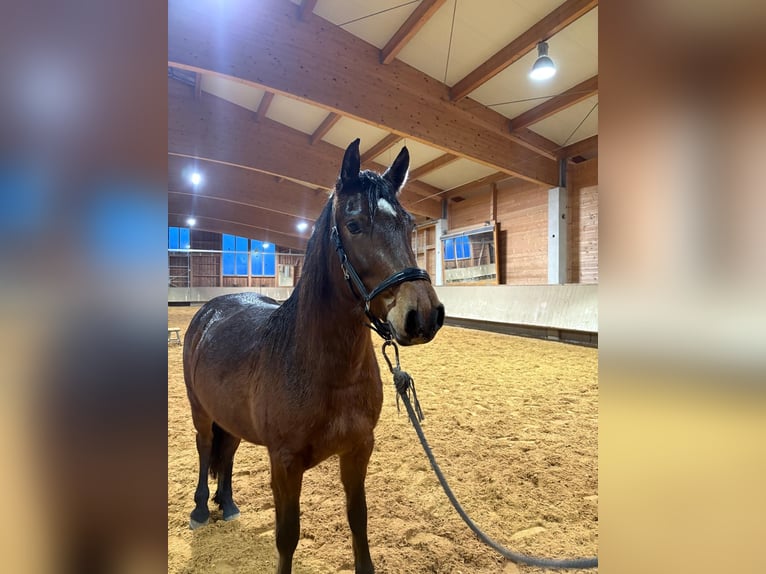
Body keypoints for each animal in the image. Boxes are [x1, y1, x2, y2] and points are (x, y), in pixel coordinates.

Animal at [183, 139, 445, 574]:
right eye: (354, 225)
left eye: (409, 225)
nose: (423, 314)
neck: (325, 370)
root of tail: (210, 310)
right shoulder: (285, 464)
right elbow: (287, 535)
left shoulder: (358, 450)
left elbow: (359, 520)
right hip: (201, 411)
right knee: (206, 450)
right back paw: (202, 509)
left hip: (230, 417)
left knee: (228, 451)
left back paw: (229, 504)